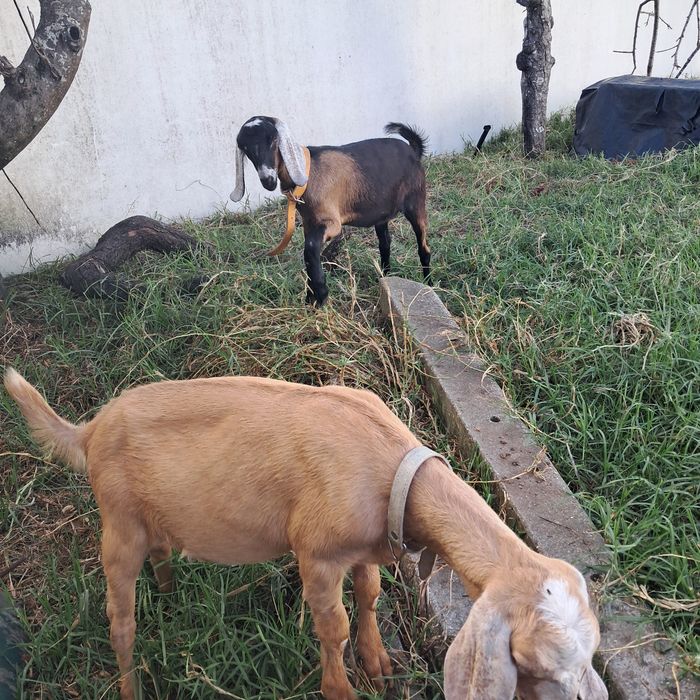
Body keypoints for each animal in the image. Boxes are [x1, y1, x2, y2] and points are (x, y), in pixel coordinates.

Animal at [4, 368, 608, 700]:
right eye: (533, 663)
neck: (391, 467)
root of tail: (89, 430)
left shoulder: (366, 547)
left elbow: (370, 594)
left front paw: (378, 664)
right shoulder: (316, 554)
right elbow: (332, 626)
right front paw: (341, 690)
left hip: (151, 517)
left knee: (161, 552)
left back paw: (172, 595)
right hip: (118, 521)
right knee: (120, 619)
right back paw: (131, 686)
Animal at [230, 116, 431, 305]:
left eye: (273, 140)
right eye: (245, 148)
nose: (268, 180)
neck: (309, 173)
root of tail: (413, 150)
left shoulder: (332, 222)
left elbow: (310, 248)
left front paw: (320, 293)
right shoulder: (309, 223)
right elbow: (309, 252)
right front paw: (310, 296)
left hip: (416, 202)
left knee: (424, 249)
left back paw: (428, 284)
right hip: (381, 213)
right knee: (385, 244)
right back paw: (385, 277)